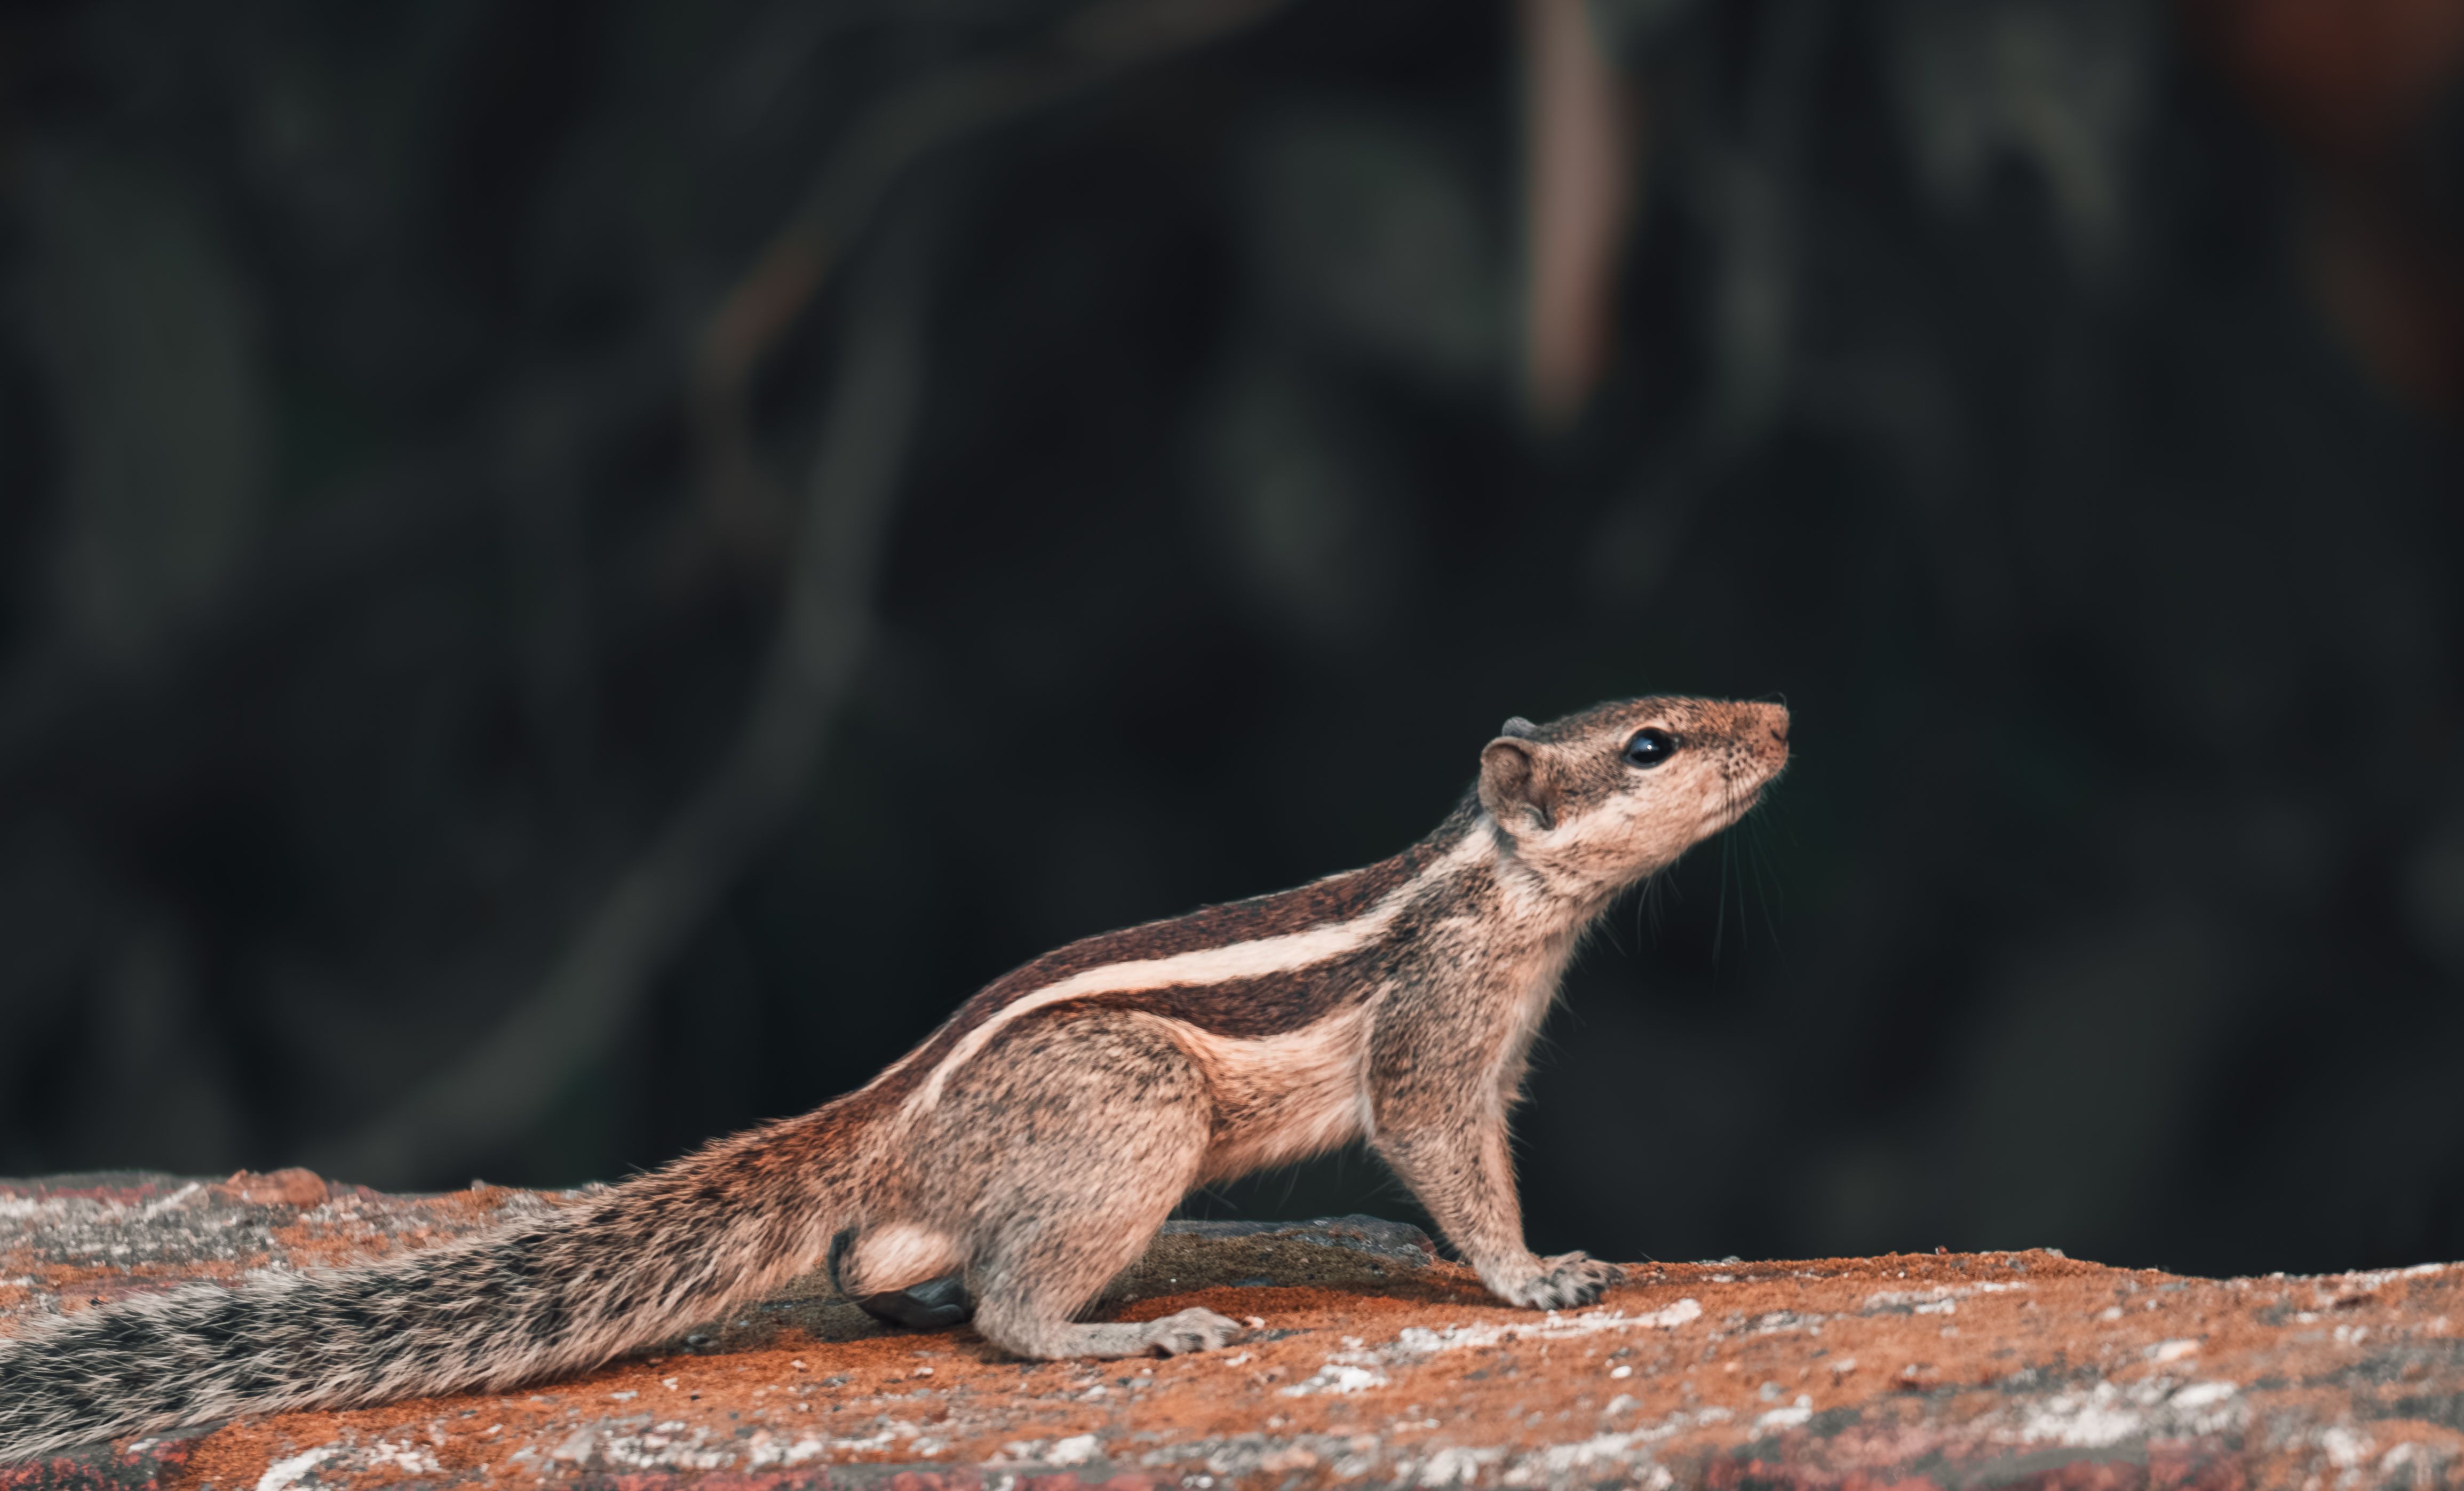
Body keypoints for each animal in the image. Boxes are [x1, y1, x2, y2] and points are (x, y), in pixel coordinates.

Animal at [0, 695, 1788, 1461]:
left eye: (1690, 706)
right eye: (1648, 742)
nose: (1772, 717)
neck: (1499, 882)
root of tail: (873, 1124)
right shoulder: (1438, 1039)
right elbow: (1446, 1159)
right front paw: (1535, 1275)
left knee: (890, 1262)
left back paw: (919, 1293)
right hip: (1135, 1112)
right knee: (1012, 1310)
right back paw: (1125, 1329)